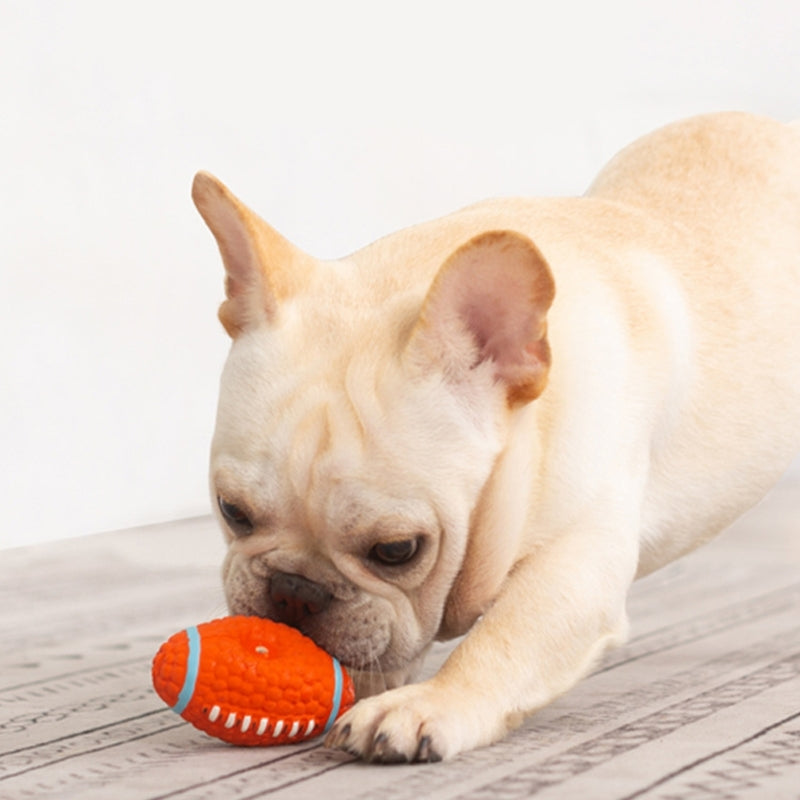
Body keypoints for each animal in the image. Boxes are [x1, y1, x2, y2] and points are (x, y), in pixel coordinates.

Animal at [192, 112, 800, 764]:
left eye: (397, 550)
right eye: (232, 511)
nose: (294, 591)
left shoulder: (575, 564)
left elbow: (504, 639)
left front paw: (426, 704)